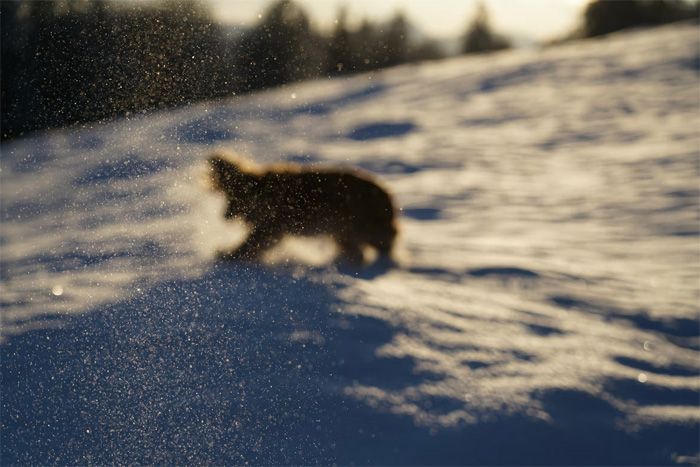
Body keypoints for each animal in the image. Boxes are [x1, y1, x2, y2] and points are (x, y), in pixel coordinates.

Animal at [206, 152, 400, 266]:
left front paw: (228, 255)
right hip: (344, 234)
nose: (223, 216)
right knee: (359, 252)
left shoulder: (272, 227)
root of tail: (388, 194)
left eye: (233, 200)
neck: (262, 191)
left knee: (385, 244)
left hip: (369, 231)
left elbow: (248, 244)